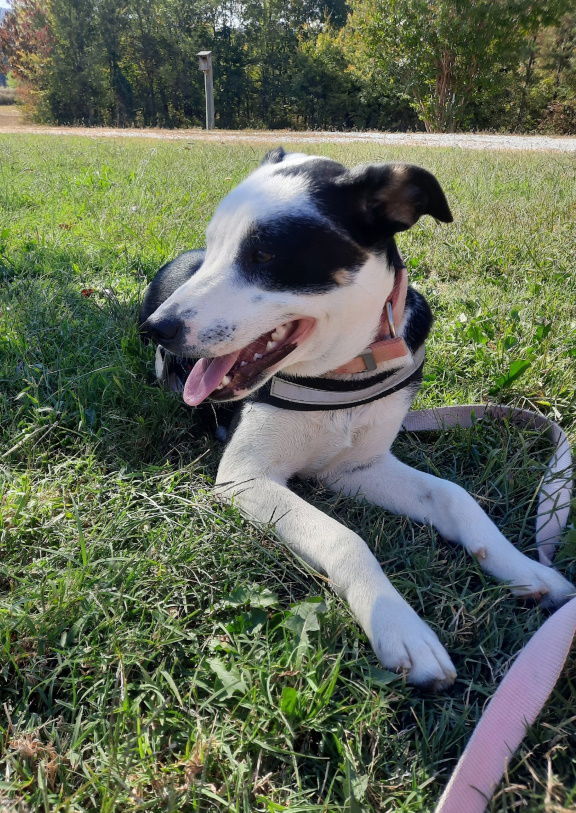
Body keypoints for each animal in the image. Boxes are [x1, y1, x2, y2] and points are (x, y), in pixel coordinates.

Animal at [138, 149, 572, 688]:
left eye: (265, 255)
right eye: (217, 244)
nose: (155, 328)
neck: (341, 371)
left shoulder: (354, 468)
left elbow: (455, 496)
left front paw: (527, 570)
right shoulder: (246, 477)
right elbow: (345, 538)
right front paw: (400, 626)